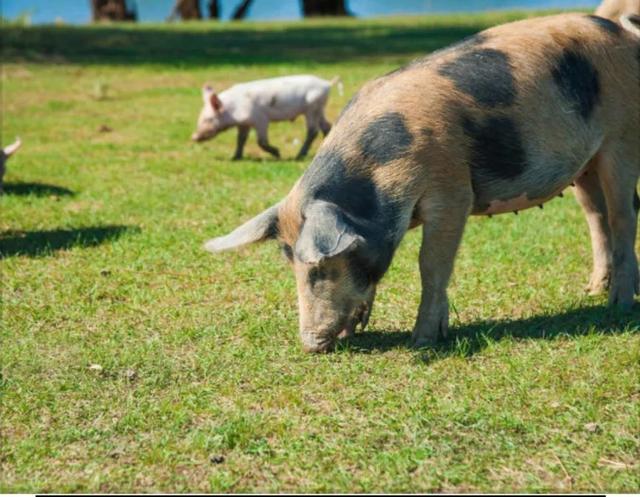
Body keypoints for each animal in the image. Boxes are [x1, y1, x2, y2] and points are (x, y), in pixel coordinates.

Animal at [189, 74, 340, 159]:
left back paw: (299, 156)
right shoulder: (244, 124)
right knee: (327, 126)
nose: (194, 137)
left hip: (312, 107)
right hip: (319, 108)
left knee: (313, 131)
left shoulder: (260, 119)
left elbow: (261, 141)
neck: (234, 108)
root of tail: (326, 83)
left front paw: (278, 154)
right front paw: (235, 157)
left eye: (209, 119)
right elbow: (241, 139)